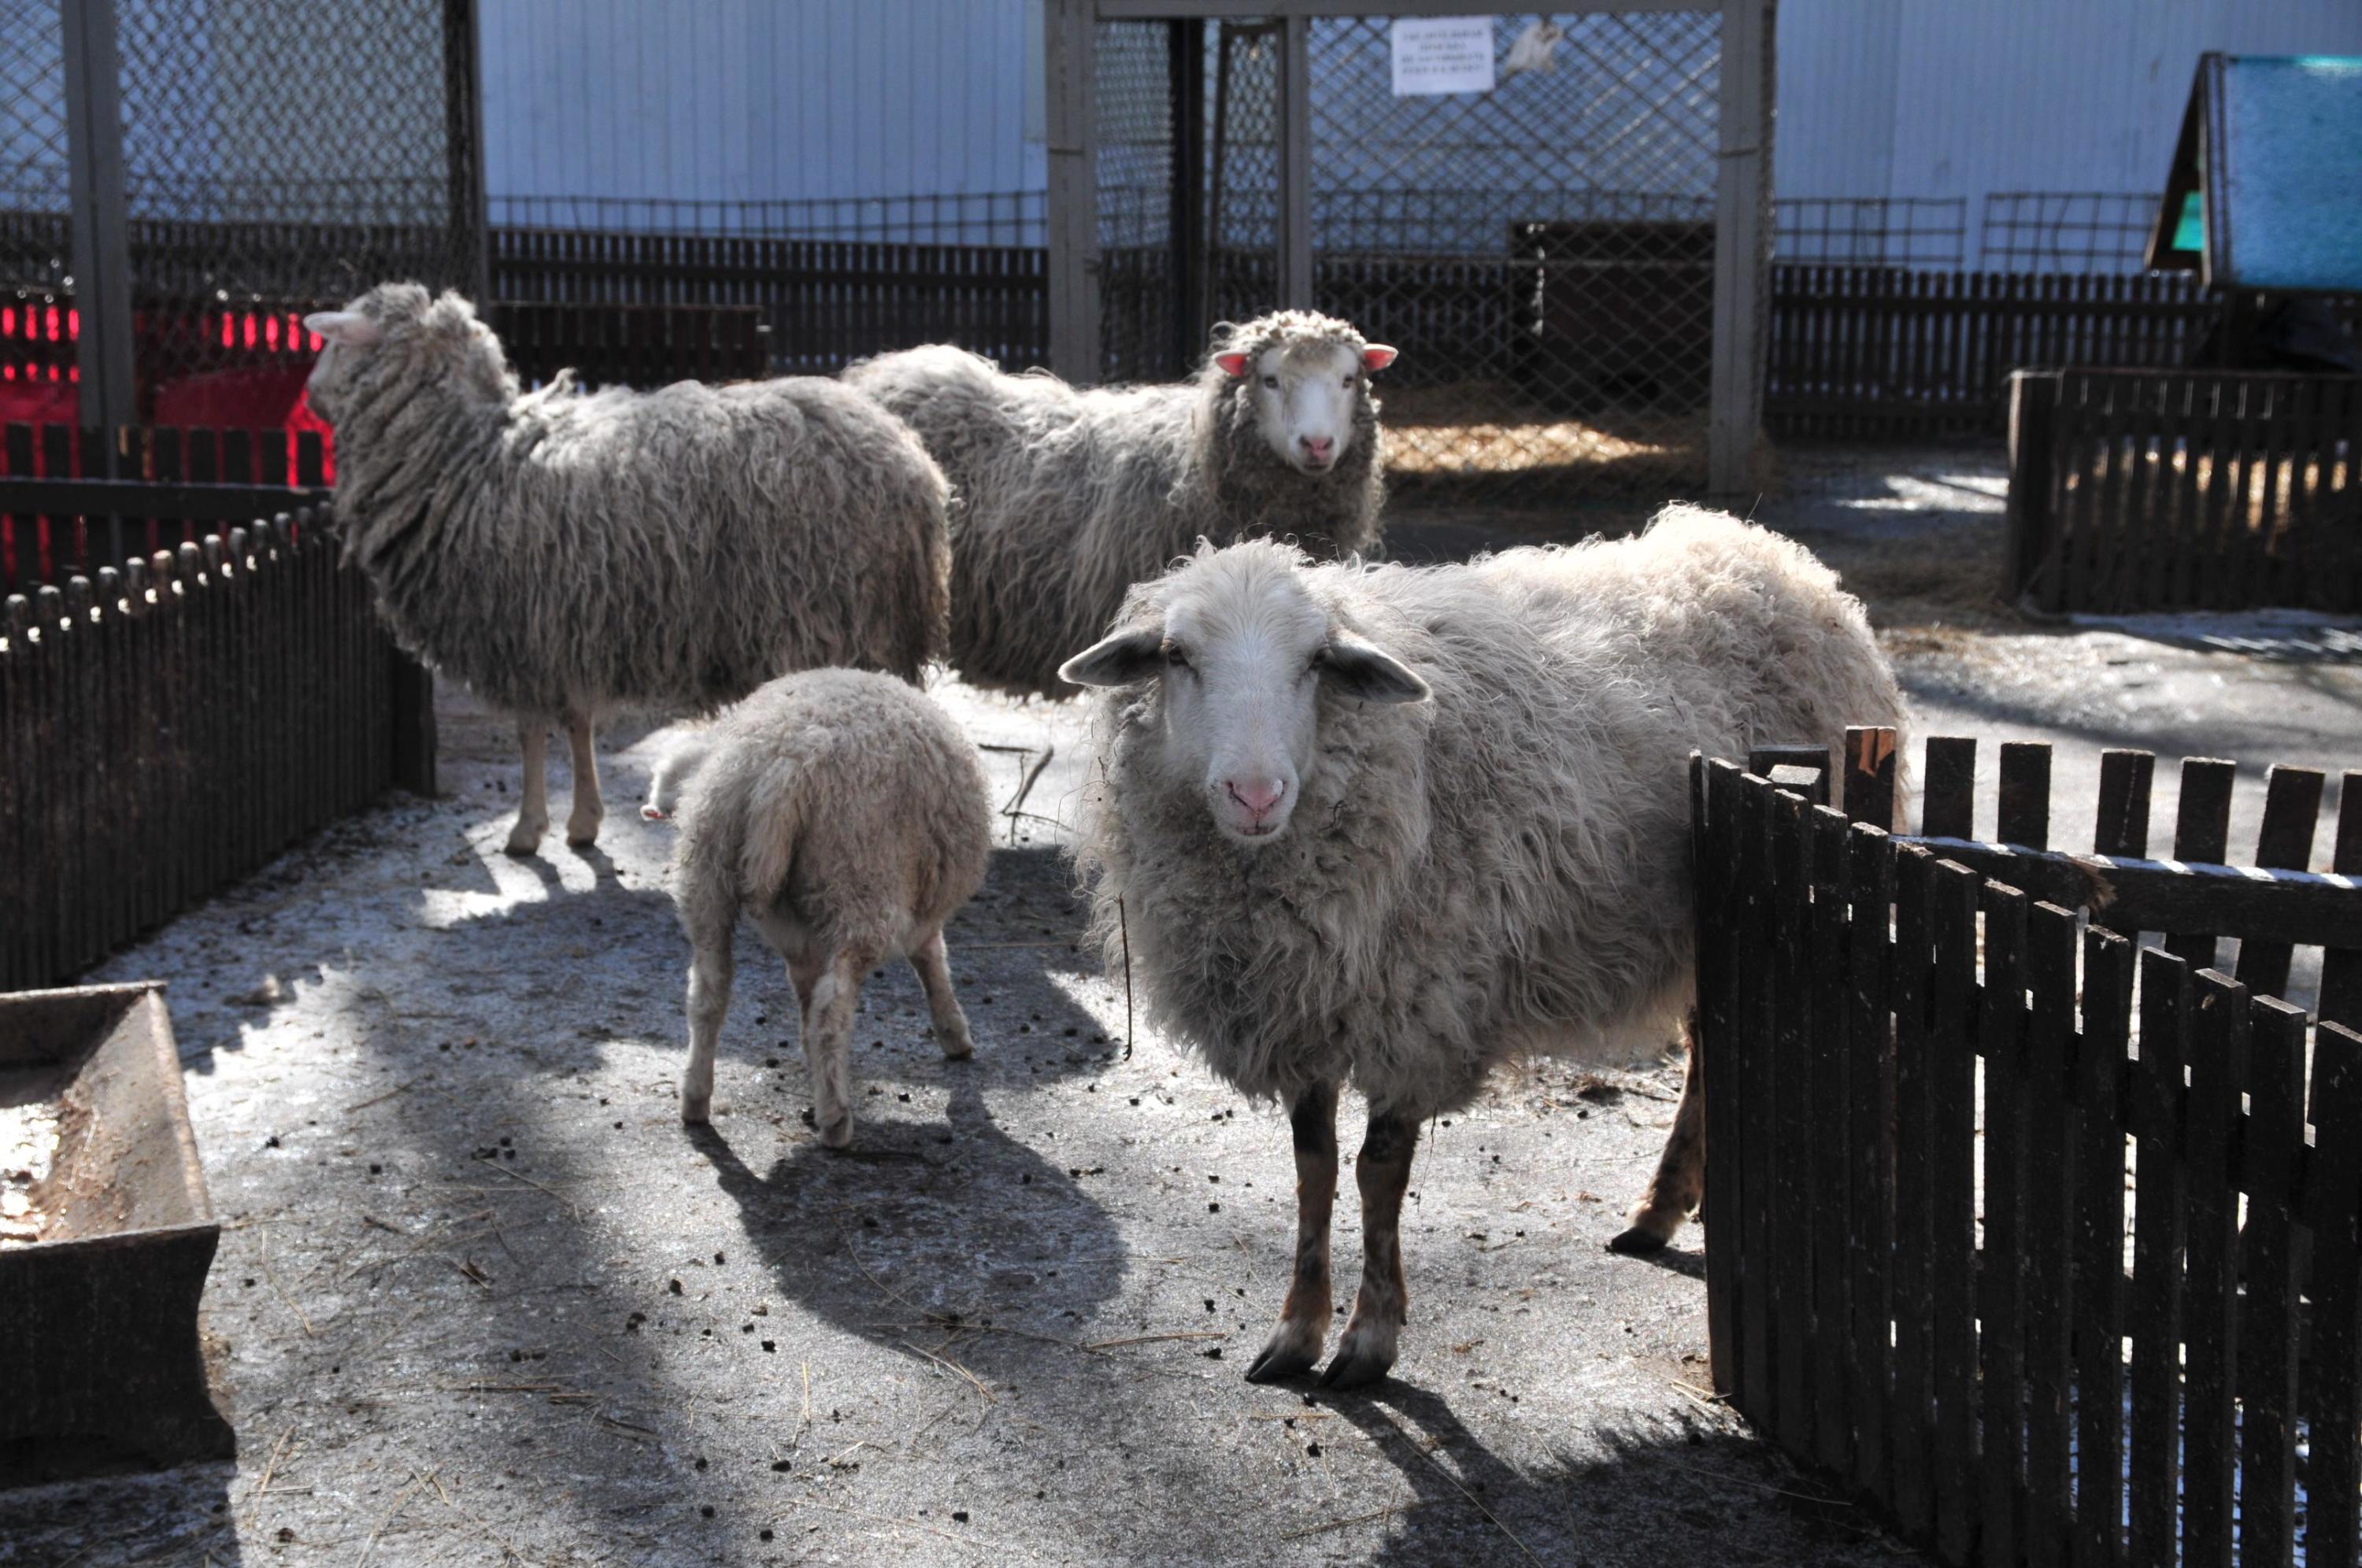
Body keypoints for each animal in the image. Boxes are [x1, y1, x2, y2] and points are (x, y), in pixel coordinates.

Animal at [305, 287, 950, 850]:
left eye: (335, 342)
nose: (308, 393)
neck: (464, 454)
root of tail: (912, 470)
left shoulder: (519, 632)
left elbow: (529, 733)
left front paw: (527, 829)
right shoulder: (565, 626)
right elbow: (577, 722)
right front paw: (583, 821)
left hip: (823, 617)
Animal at [666, 666, 997, 1148]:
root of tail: (783, 765)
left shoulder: (802, 941)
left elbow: (804, 1000)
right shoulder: (919, 911)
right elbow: (933, 961)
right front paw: (954, 1033)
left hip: (707, 879)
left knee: (708, 992)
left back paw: (695, 1100)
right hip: (862, 886)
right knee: (831, 1005)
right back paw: (836, 1121)